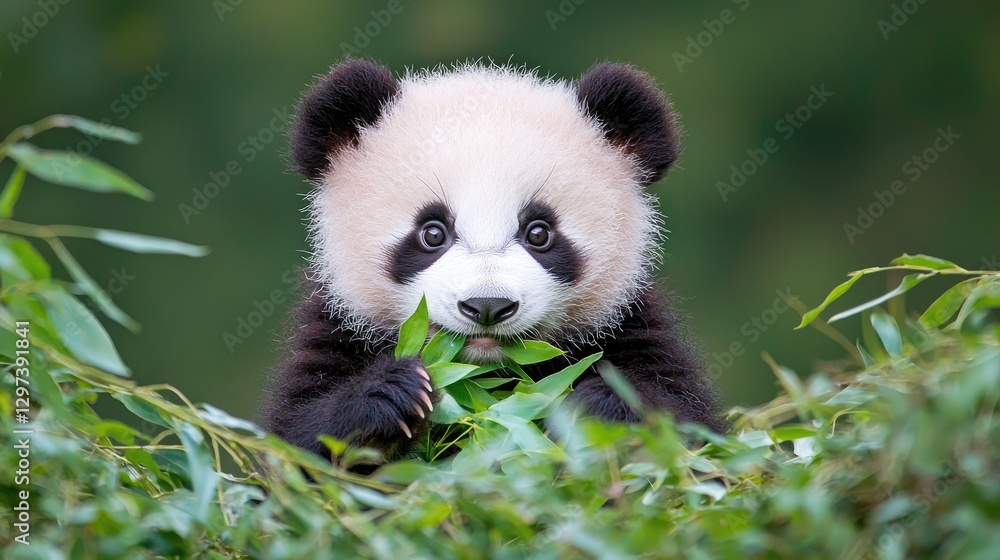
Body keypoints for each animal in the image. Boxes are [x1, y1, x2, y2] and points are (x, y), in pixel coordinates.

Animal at [261, 59, 725, 461]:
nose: (487, 306)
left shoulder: (630, 324)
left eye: (539, 233)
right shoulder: (336, 328)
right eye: (433, 233)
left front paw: (594, 408)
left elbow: (689, 428)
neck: (484, 378)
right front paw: (392, 393)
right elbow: (299, 440)